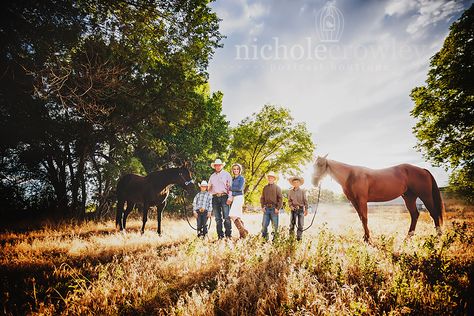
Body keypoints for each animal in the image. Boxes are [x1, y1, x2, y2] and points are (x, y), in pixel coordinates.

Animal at [312, 154, 442, 241]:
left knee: (433, 213)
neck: (351, 176)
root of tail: (423, 170)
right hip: (409, 198)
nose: (313, 181)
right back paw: (408, 238)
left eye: (321, 164)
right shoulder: (354, 202)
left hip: (425, 196)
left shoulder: (362, 200)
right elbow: (361, 218)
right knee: (415, 215)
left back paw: (438, 237)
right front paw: (365, 237)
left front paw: (367, 239)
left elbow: (364, 218)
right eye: (314, 165)